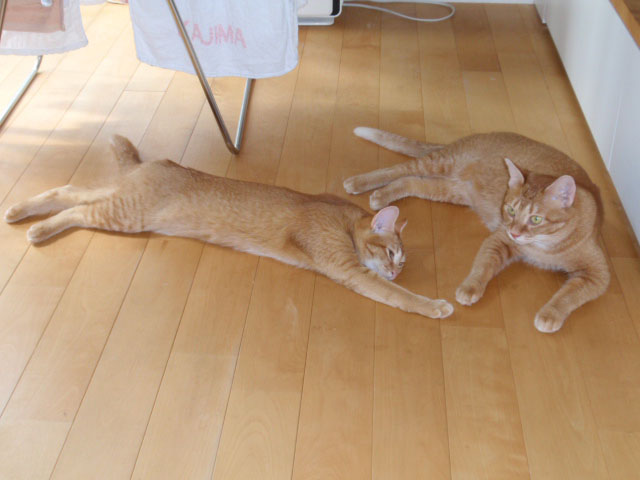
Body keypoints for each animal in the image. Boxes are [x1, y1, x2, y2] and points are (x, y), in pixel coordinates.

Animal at [4, 134, 453, 319]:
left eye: (402, 260)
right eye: (391, 252)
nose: (396, 269)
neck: (340, 218)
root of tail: (154, 164)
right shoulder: (348, 268)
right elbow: (398, 297)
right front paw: (434, 305)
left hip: (119, 200)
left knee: (69, 191)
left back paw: (19, 212)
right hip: (126, 214)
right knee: (77, 211)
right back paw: (36, 230)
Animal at [344, 127, 610, 333]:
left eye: (535, 219)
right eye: (511, 210)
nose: (515, 232)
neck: (542, 247)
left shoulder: (597, 274)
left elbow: (569, 296)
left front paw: (550, 314)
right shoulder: (500, 239)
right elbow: (483, 267)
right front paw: (470, 288)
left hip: (450, 190)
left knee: (410, 181)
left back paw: (383, 195)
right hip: (440, 164)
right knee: (399, 169)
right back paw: (360, 183)